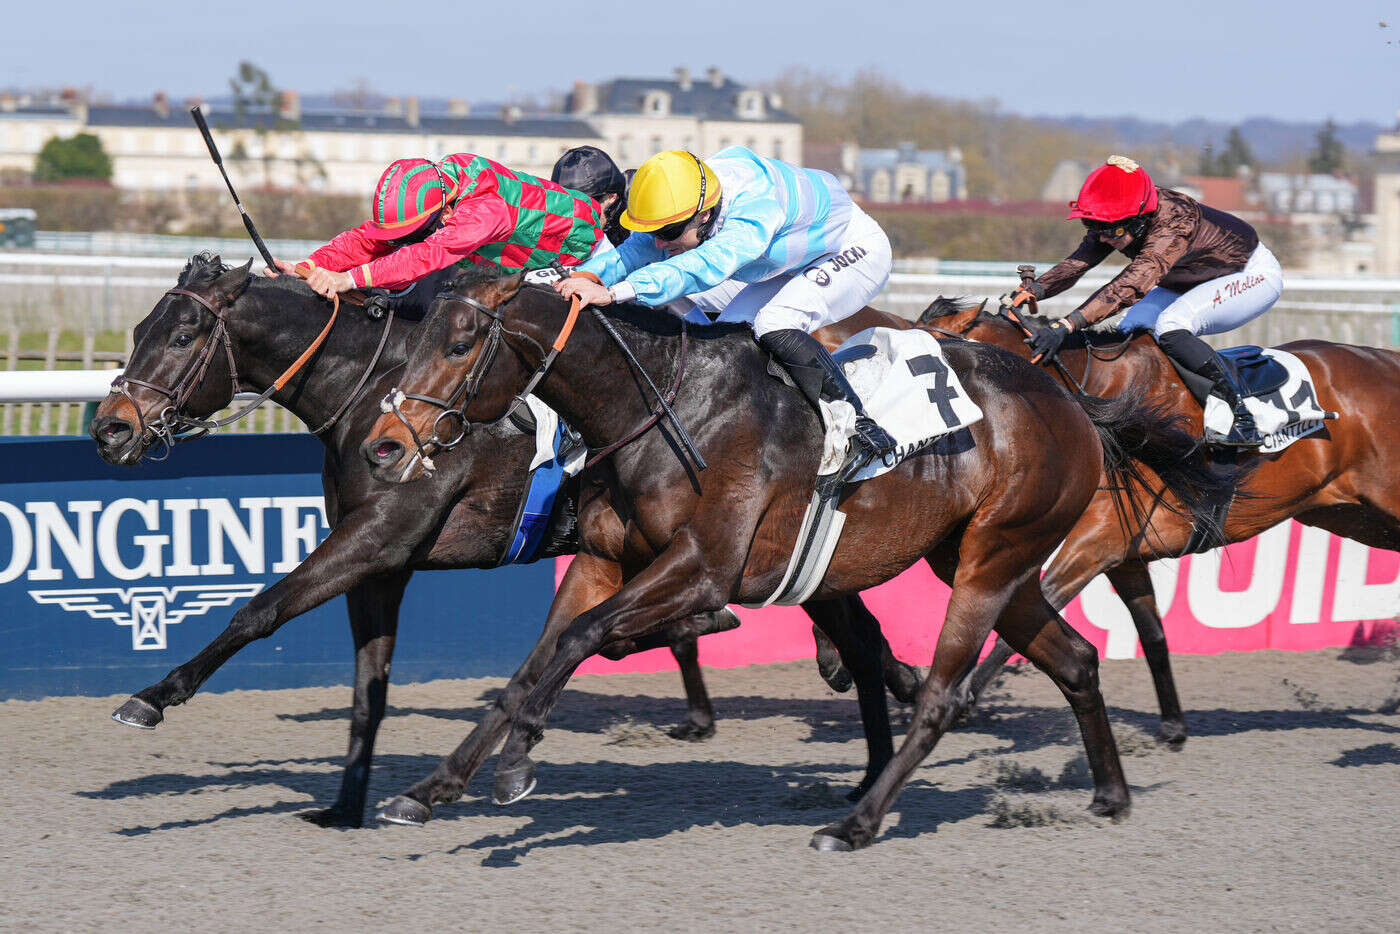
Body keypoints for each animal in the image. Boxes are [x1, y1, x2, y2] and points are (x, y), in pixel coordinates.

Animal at [93, 253, 912, 823]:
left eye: (184, 334)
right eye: (136, 332)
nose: (110, 430)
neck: (370, 391)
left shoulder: (379, 535)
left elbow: (261, 609)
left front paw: (153, 697)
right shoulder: (384, 566)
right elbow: (368, 689)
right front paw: (347, 805)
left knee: (840, 628)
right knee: (855, 628)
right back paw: (876, 741)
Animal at [352, 271, 1237, 856]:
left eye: (460, 342)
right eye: (415, 338)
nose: (384, 445)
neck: (664, 407)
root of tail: (1071, 403)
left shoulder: (704, 565)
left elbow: (578, 645)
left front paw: (515, 767)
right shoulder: (604, 561)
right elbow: (530, 666)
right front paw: (431, 790)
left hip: (993, 558)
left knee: (943, 696)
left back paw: (856, 822)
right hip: (984, 562)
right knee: (1078, 659)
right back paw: (1110, 794)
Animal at [918, 299, 1400, 744]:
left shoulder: (1093, 544)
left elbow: (1013, 627)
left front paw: (961, 700)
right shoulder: (1122, 554)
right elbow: (1151, 631)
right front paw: (1173, 725)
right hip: (1352, 515)